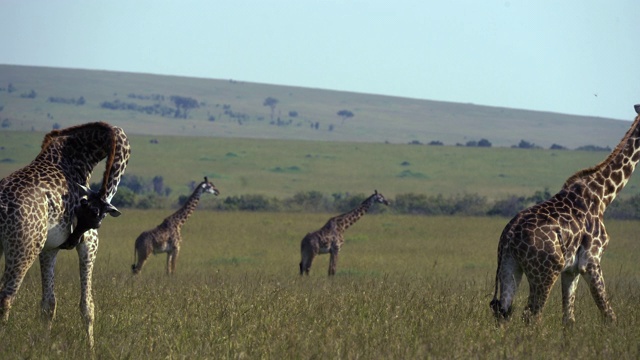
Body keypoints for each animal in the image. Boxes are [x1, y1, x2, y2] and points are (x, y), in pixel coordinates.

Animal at [0, 121, 130, 348]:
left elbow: (49, 304)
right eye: (85, 215)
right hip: (23, 248)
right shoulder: (91, 244)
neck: (79, 156)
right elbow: (87, 306)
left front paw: (44, 345)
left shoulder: (49, 248)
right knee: (6, 298)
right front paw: (91, 348)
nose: (72, 240)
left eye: (93, 217)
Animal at [490, 105, 640, 326]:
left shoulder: (571, 269)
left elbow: (569, 318)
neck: (603, 196)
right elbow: (609, 313)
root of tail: (508, 236)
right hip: (545, 271)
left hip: (510, 266)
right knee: (532, 314)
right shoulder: (591, 261)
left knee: (504, 312)